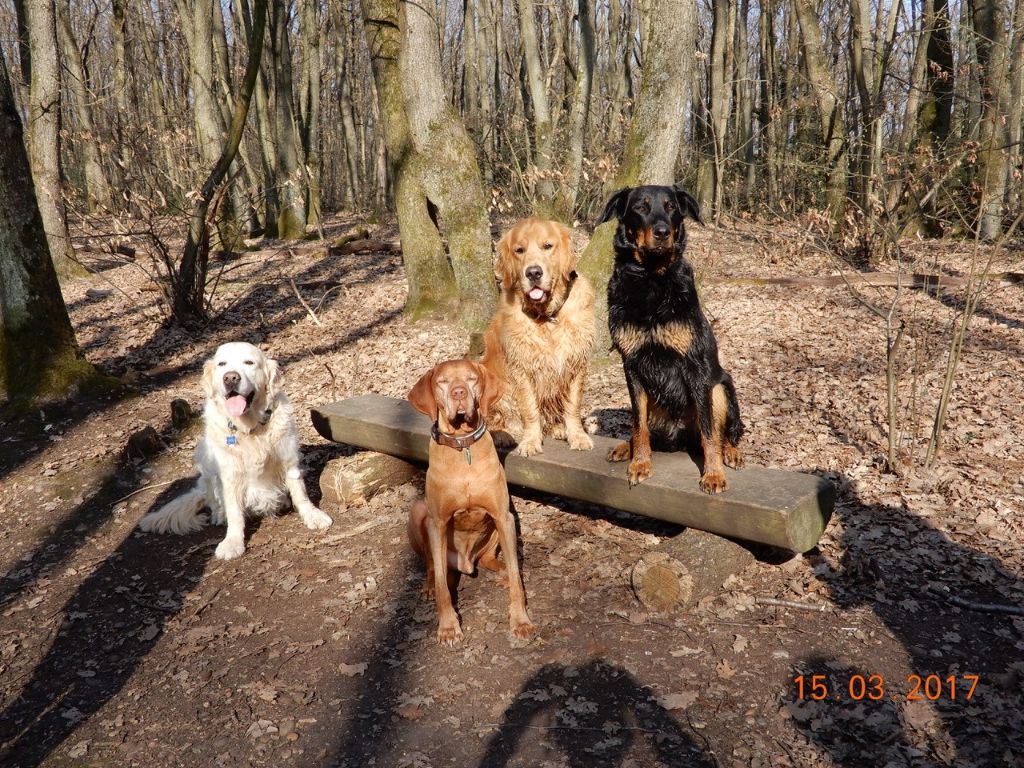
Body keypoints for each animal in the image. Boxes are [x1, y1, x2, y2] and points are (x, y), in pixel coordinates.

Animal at [138, 342, 331, 561]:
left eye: (249, 362)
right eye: (222, 364)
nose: (230, 377)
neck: (250, 428)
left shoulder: (288, 459)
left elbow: (301, 494)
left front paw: (313, 515)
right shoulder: (229, 475)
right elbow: (234, 513)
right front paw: (232, 542)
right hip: (204, 458)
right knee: (214, 499)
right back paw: (219, 514)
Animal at [407, 358, 536, 647]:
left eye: (471, 379)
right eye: (442, 381)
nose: (459, 393)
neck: (462, 445)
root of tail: (465, 563)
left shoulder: (502, 514)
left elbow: (517, 578)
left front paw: (520, 621)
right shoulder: (438, 522)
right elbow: (443, 585)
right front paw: (448, 627)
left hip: (505, 523)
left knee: (492, 559)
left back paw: (501, 571)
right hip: (419, 512)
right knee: (432, 565)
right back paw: (429, 586)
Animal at [481, 217, 598, 456]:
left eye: (547, 246)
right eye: (519, 250)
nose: (533, 273)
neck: (547, 317)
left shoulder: (576, 363)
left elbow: (573, 407)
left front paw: (577, 436)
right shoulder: (522, 368)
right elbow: (529, 409)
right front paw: (530, 441)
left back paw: (557, 428)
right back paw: (501, 435)